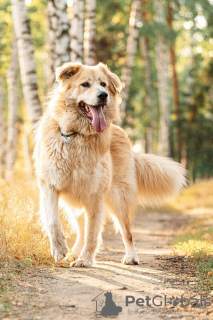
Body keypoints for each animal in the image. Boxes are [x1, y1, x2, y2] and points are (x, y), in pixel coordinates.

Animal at [33, 62, 186, 268]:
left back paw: (130, 257)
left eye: (103, 84)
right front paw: (59, 249)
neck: (76, 135)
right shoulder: (49, 185)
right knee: (81, 229)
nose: (103, 95)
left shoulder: (95, 194)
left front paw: (86, 260)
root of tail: (122, 133)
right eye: (85, 84)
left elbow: (93, 233)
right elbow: (53, 221)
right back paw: (74, 253)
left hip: (117, 199)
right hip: (77, 203)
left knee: (126, 232)